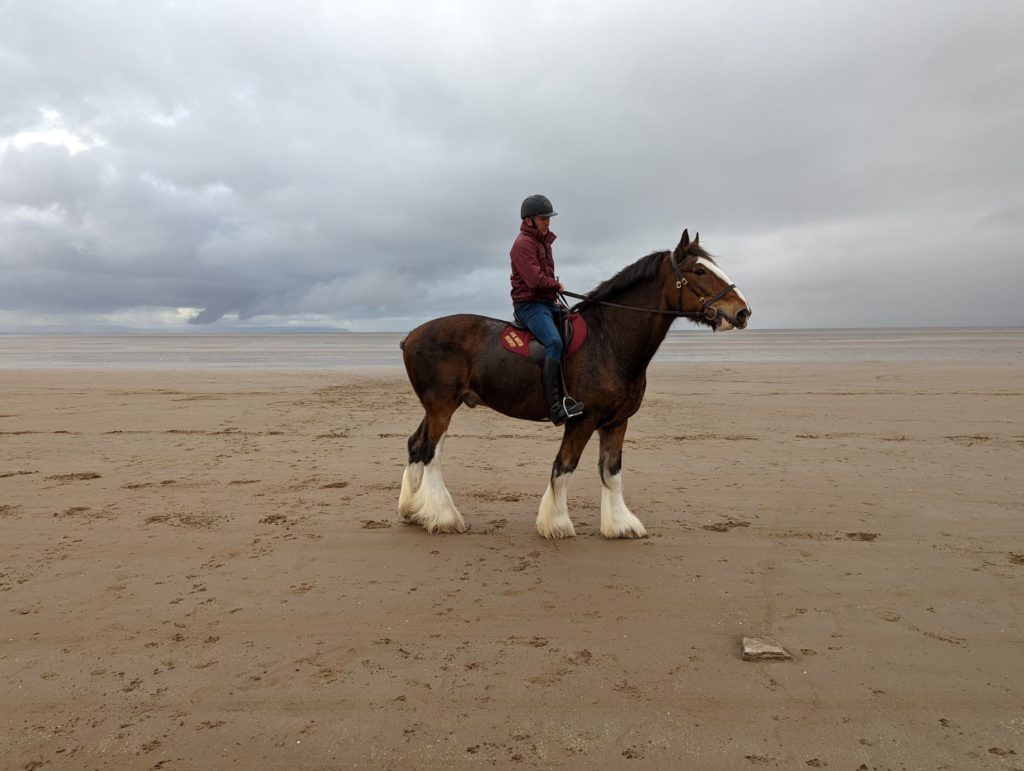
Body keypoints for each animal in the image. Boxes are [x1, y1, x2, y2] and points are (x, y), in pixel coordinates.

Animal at [398, 229, 751, 539]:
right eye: (699, 270)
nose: (742, 312)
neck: (609, 340)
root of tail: (411, 336)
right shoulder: (582, 421)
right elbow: (564, 466)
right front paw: (556, 523)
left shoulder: (616, 422)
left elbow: (611, 472)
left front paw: (619, 525)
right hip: (442, 406)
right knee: (430, 452)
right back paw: (444, 517)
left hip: (438, 407)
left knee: (416, 445)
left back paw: (413, 511)